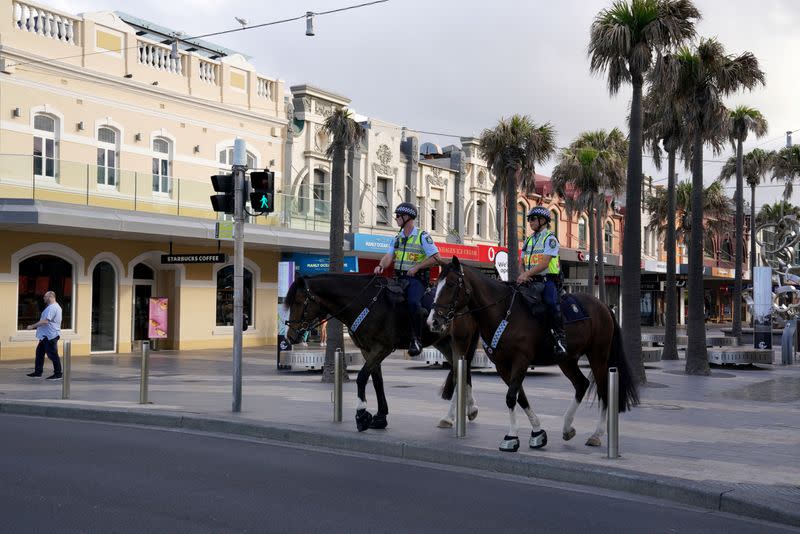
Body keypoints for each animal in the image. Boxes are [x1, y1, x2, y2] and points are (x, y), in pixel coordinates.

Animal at [284, 274, 478, 434]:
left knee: (460, 373)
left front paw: (361, 414)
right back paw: (469, 410)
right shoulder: (368, 349)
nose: (290, 336)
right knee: (462, 372)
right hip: (444, 343)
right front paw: (380, 417)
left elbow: (362, 377)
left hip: (459, 342)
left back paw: (452, 416)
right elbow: (377, 381)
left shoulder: (381, 348)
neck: (365, 303)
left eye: (298, 302)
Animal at [428, 258, 640, 454]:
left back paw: (596, 434)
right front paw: (537, 433)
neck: (504, 312)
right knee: (581, 384)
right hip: (567, 360)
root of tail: (604, 306)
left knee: (604, 390)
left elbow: (511, 397)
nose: (433, 321)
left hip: (598, 356)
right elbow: (520, 397)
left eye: (451, 284)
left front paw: (511, 437)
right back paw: (567, 427)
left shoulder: (521, 360)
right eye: (436, 283)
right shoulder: (503, 366)